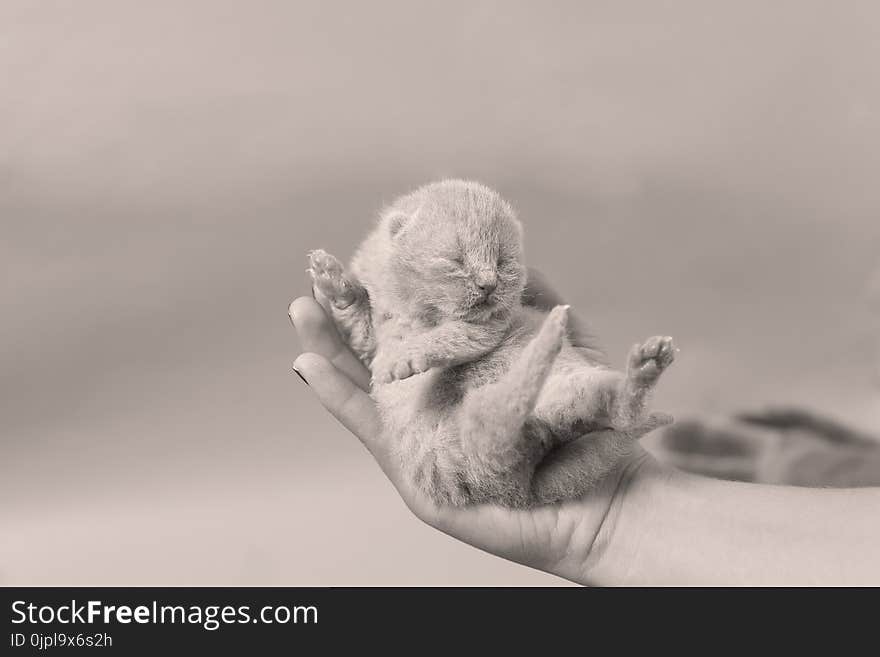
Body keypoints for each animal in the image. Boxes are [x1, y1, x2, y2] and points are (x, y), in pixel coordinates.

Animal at [310, 179, 672, 508]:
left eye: (502, 261)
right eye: (454, 260)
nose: (488, 284)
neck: (421, 313)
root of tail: (519, 487)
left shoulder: (485, 330)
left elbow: (447, 338)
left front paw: (401, 360)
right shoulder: (368, 340)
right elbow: (356, 316)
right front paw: (329, 275)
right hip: (498, 431)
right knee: (514, 416)